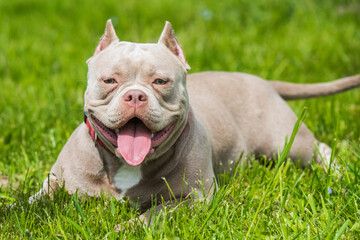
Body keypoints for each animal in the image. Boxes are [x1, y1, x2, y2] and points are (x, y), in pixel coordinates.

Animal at [31, 20, 360, 221]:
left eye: (160, 81)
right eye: (110, 80)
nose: (135, 96)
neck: (125, 165)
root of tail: (263, 80)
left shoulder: (191, 200)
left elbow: (149, 216)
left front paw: (122, 228)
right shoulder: (53, 184)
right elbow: (29, 203)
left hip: (285, 143)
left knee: (319, 149)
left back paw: (338, 172)